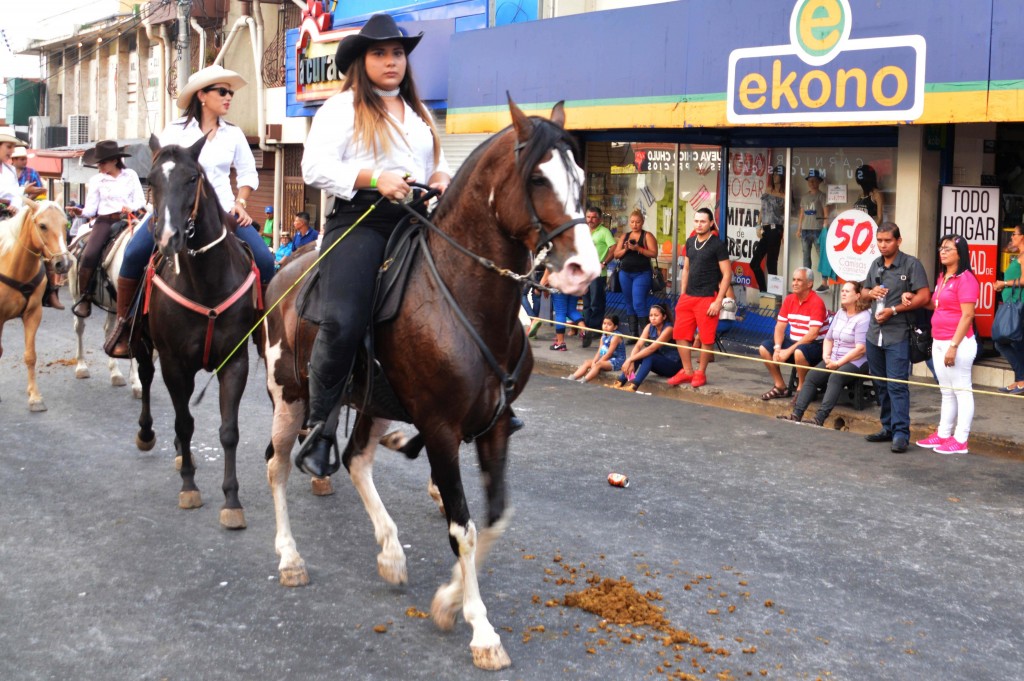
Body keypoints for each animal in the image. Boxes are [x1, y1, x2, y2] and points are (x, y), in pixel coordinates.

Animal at [0, 199, 70, 411]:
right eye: (43, 226)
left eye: (65, 224)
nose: (63, 263)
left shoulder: (33, 314)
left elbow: (30, 356)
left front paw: (35, 397)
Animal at [69, 219, 143, 393]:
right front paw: (137, 382)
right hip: (77, 296)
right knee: (79, 327)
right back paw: (81, 367)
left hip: (113, 305)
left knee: (109, 330)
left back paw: (115, 373)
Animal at [134, 135, 262, 528]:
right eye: (151, 181)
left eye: (193, 178)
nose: (167, 237)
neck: (207, 283)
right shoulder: (173, 362)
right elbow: (184, 423)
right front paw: (189, 486)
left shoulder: (235, 361)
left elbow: (228, 431)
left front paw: (232, 500)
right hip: (144, 345)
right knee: (146, 379)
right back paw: (148, 434)